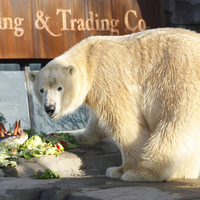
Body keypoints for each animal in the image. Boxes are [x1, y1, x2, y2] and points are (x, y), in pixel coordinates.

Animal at [28, 28, 200, 183]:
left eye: (60, 88)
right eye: (41, 90)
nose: (50, 108)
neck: (88, 58)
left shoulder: (108, 79)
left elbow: (125, 123)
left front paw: (120, 170)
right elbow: (97, 121)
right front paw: (79, 136)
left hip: (179, 83)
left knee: (173, 127)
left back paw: (144, 173)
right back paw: (183, 172)